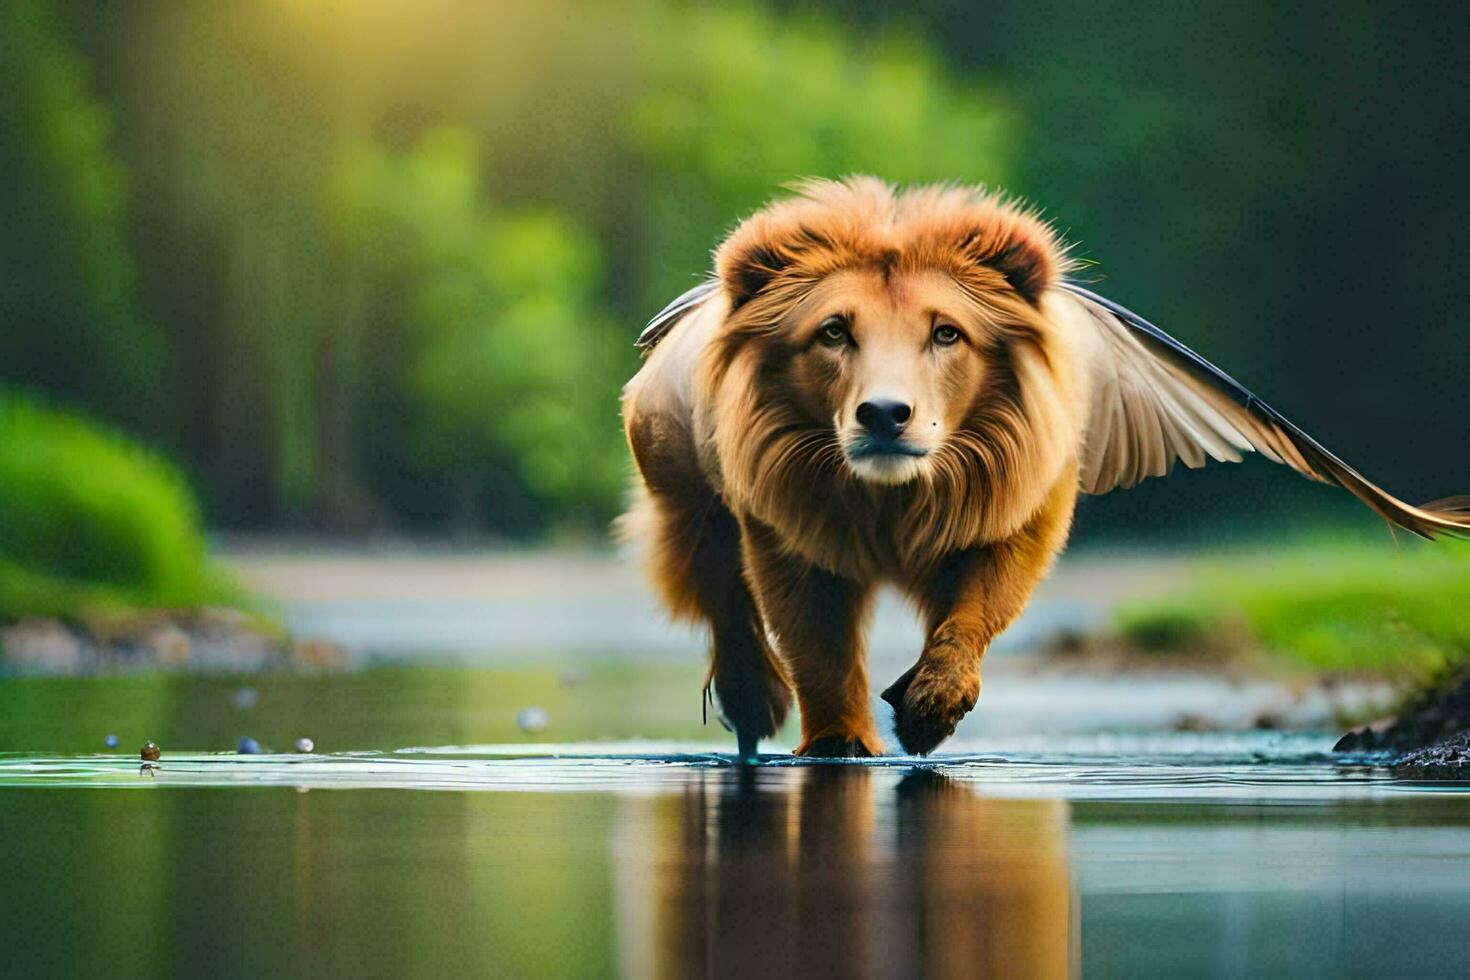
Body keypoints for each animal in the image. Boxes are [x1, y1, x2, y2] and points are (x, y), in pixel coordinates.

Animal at [617, 178, 1470, 758]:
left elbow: (977, 610)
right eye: (833, 331)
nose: (885, 414)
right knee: (718, 588)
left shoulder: (1013, 509)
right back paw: (752, 702)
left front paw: (929, 707)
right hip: (683, 483)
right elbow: (816, 643)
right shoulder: (790, 528)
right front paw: (842, 742)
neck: (893, 502)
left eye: (946, 333)